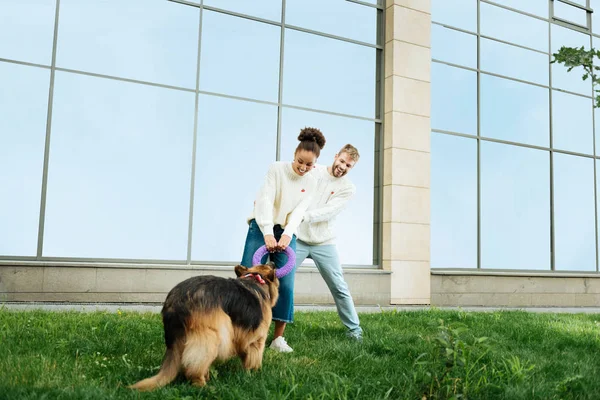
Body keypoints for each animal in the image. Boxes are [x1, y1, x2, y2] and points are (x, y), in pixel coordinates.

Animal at [129, 262, 278, 390]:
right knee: (196, 365)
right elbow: (254, 357)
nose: (273, 262)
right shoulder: (257, 340)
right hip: (213, 336)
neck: (256, 279)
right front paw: (253, 373)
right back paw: (202, 384)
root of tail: (176, 301)